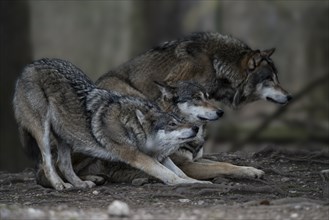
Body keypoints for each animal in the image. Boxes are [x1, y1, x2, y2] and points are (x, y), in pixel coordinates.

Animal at [13, 58, 213, 191]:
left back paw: (80, 184)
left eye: (180, 121)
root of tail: (30, 66)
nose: (195, 128)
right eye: (171, 124)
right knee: (48, 164)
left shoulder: (160, 156)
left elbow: (181, 172)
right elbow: (170, 175)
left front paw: (198, 182)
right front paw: (184, 183)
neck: (131, 127)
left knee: (63, 164)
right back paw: (60, 185)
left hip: (67, 138)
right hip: (45, 133)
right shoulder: (136, 156)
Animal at [94, 31, 290, 180]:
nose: (290, 96)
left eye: (277, 77)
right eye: (270, 79)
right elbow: (221, 167)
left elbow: (225, 163)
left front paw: (251, 171)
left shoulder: (196, 159)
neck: (217, 64)